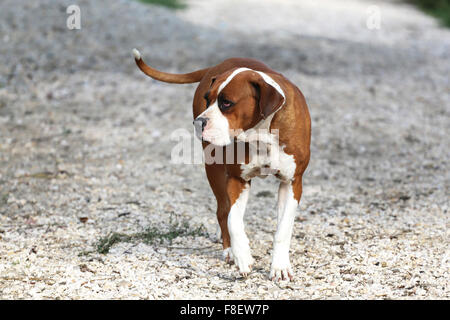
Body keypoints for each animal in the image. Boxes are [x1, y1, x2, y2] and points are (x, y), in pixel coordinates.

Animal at [134, 48, 310, 282]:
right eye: (207, 100)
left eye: (226, 102)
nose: (198, 122)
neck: (261, 133)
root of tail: (215, 66)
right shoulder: (237, 180)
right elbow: (233, 219)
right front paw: (242, 255)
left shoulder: (291, 183)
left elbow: (283, 228)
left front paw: (280, 266)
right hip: (214, 169)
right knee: (222, 211)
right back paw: (230, 250)